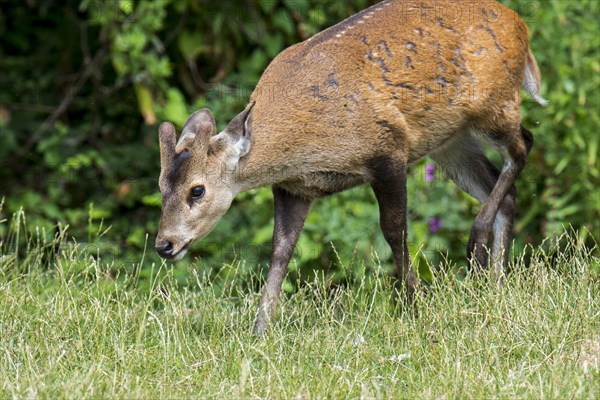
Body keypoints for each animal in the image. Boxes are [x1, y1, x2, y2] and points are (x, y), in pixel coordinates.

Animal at [154, 0, 544, 334]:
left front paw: (413, 308)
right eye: (160, 188)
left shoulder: (388, 149)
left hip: (494, 103)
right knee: (504, 187)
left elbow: (395, 231)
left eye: (197, 190)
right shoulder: (294, 187)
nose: (164, 245)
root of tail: (520, 26)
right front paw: (259, 330)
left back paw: (477, 243)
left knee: (524, 145)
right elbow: (280, 251)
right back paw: (495, 285)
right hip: (450, 140)